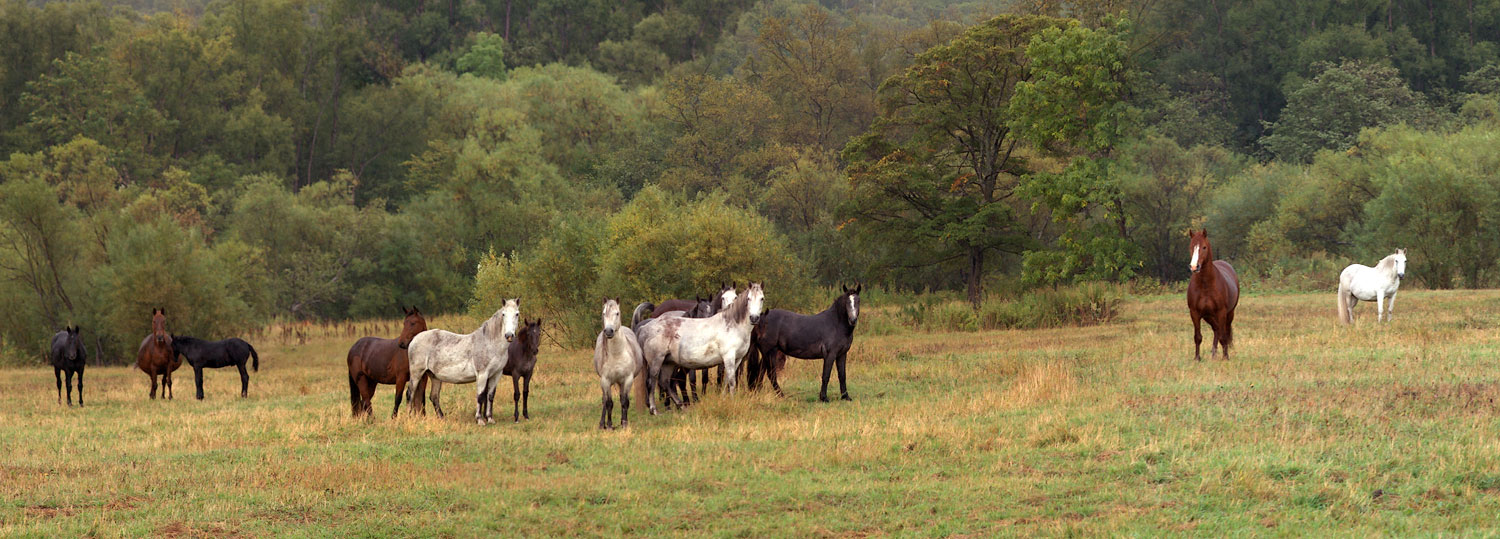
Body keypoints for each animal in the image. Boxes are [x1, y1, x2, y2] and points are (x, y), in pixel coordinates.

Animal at [594, 300, 642, 429]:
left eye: (617, 313)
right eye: (603, 313)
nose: (608, 331)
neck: (616, 354)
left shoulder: (627, 379)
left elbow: (625, 402)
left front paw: (624, 423)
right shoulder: (605, 381)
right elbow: (609, 403)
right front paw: (609, 426)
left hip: (621, 382)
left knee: (621, 399)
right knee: (604, 400)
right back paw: (602, 424)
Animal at [639, 282, 768, 414]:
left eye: (762, 298)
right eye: (748, 298)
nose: (754, 318)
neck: (732, 324)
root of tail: (645, 328)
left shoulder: (737, 359)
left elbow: (726, 380)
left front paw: (723, 399)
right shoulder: (729, 358)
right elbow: (732, 381)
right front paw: (733, 402)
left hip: (668, 362)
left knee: (665, 382)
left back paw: (681, 406)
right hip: (656, 361)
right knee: (652, 381)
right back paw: (654, 410)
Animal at [1182, 229, 1242, 360]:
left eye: (1204, 247)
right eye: (1191, 247)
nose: (1194, 266)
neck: (1206, 285)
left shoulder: (1221, 312)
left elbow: (1224, 337)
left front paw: (1225, 357)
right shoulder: (1195, 313)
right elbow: (1198, 337)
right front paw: (1197, 358)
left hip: (1229, 313)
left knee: (1224, 331)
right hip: (1208, 316)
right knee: (1216, 329)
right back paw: (1214, 353)